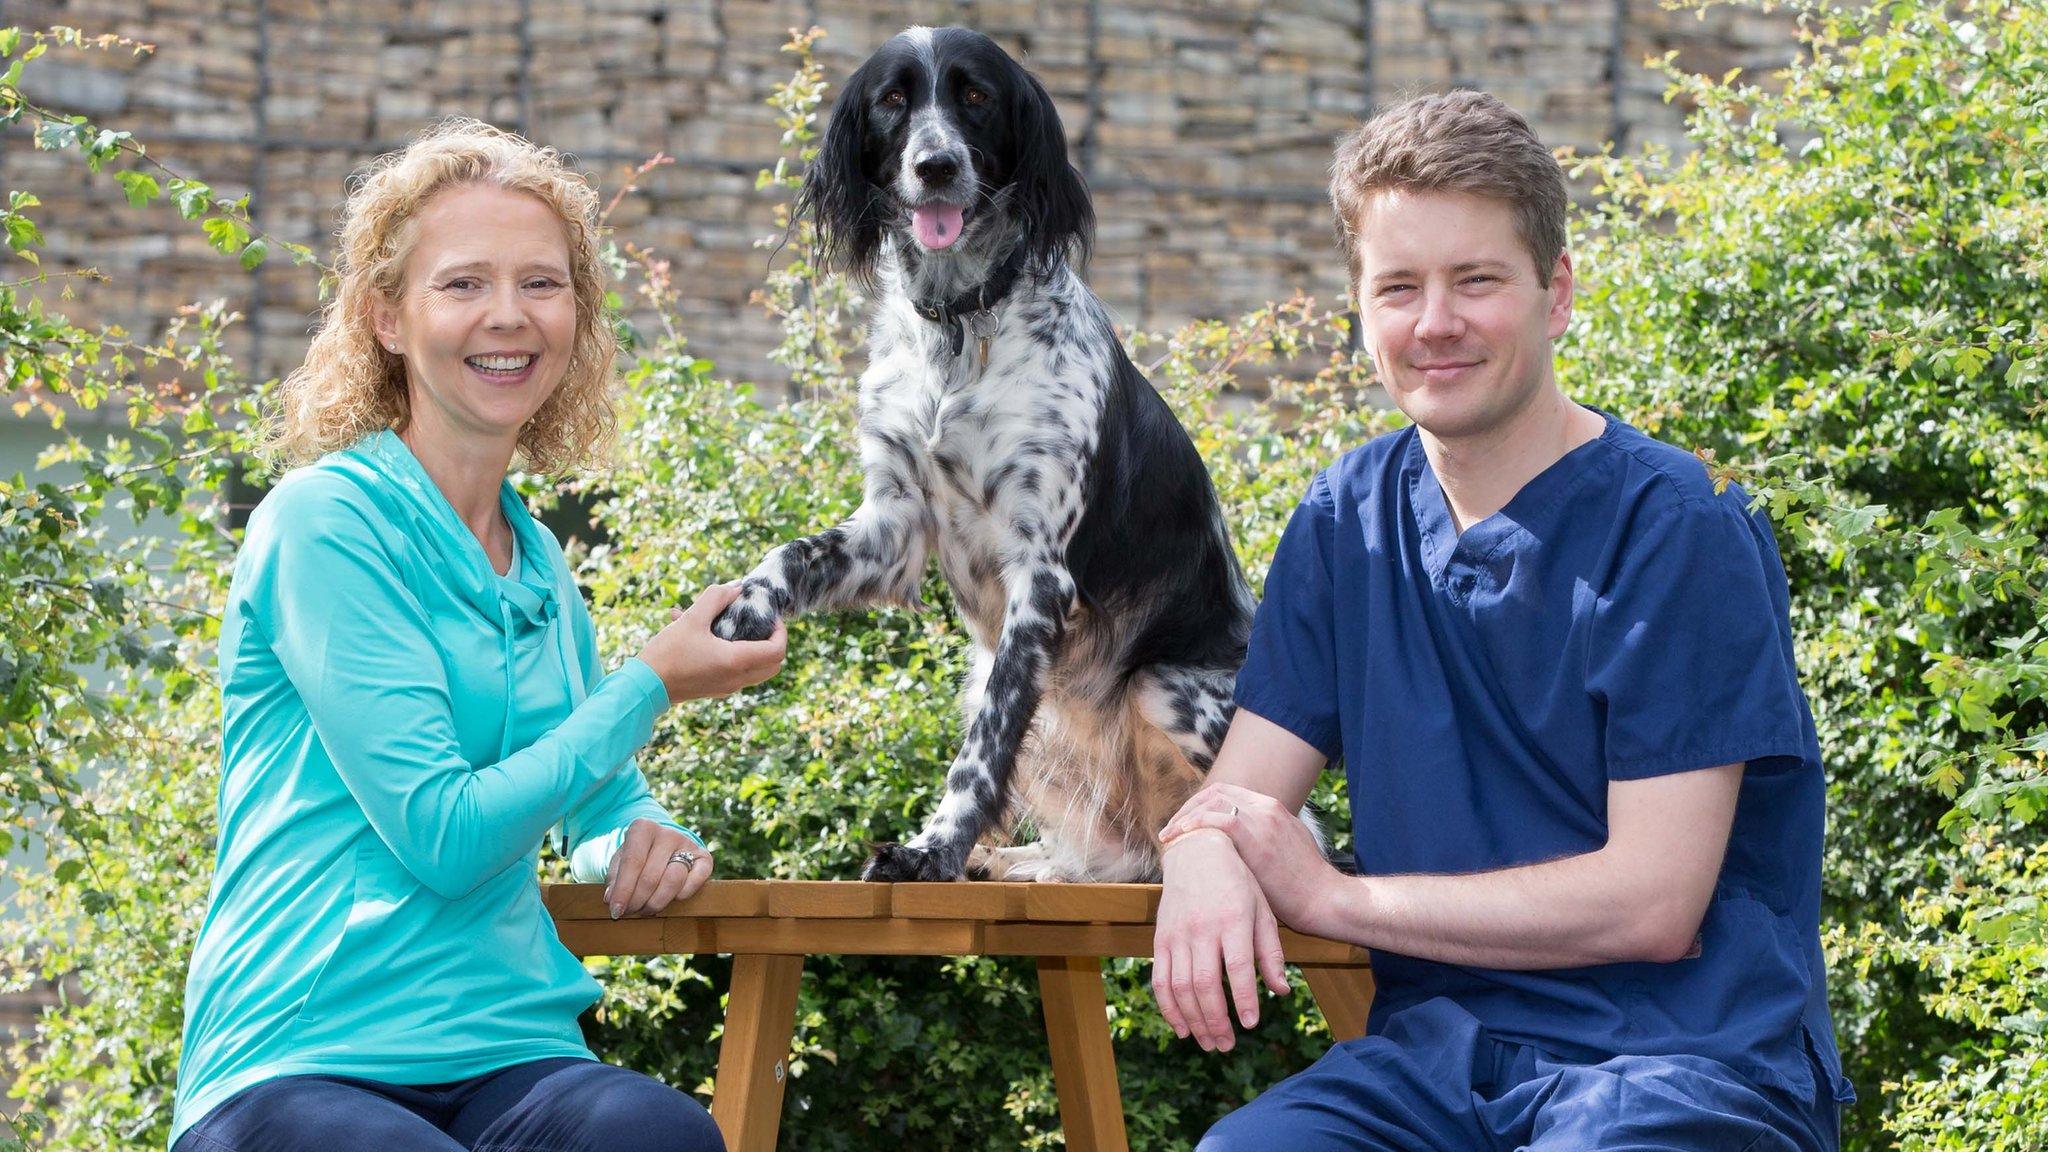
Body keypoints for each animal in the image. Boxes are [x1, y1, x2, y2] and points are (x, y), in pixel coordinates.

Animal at [712, 26, 1253, 877]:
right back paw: (1017, 862)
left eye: (975, 95)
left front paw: (933, 847)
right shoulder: (893, 525)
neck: (961, 328)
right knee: (1108, 858)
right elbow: (791, 552)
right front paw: (748, 605)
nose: (936, 165)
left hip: (1164, 688)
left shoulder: (1040, 574)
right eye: (892, 100)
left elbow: (985, 747)